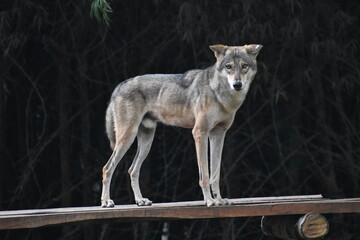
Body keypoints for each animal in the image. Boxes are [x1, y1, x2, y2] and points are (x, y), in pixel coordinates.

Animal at [100, 44, 262, 207]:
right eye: (229, 67)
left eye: (244, 66)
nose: (237, 85)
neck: (220, 94)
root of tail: (119, 86)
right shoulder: (200, 133)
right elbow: (205, 175)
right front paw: (210, 201)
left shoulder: (218, 134)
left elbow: (215, 175)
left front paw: (220, 200)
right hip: (127, 138)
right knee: (107, 168)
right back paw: (106, 201)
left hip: (146, 141)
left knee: (132, 170)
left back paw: (140, 200)